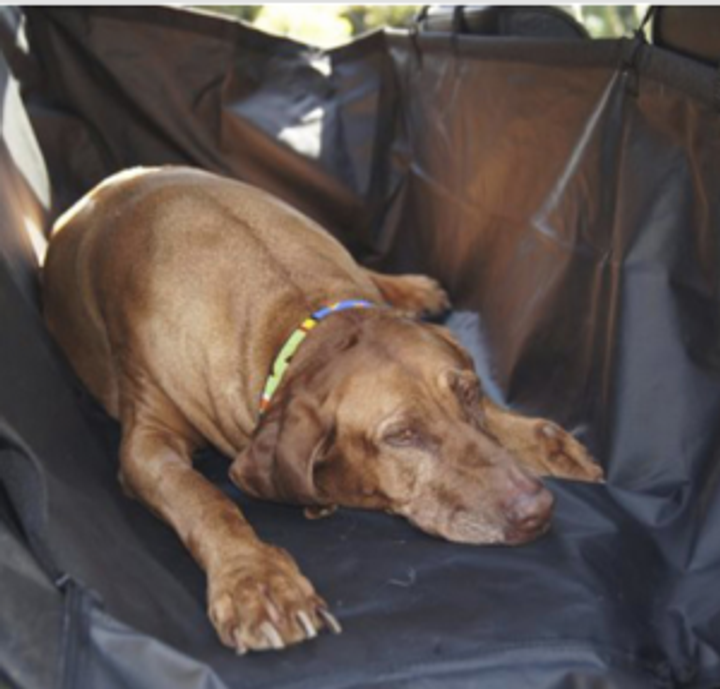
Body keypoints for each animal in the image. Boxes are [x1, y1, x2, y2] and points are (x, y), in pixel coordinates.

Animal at [42, 167, 603, 654]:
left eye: (466, 393)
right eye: (401, 436)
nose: (538, 511)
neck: (299, 314)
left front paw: (546, 444)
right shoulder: (146, 442)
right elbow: (204, 499)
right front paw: (257, 582)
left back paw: (411, 287)